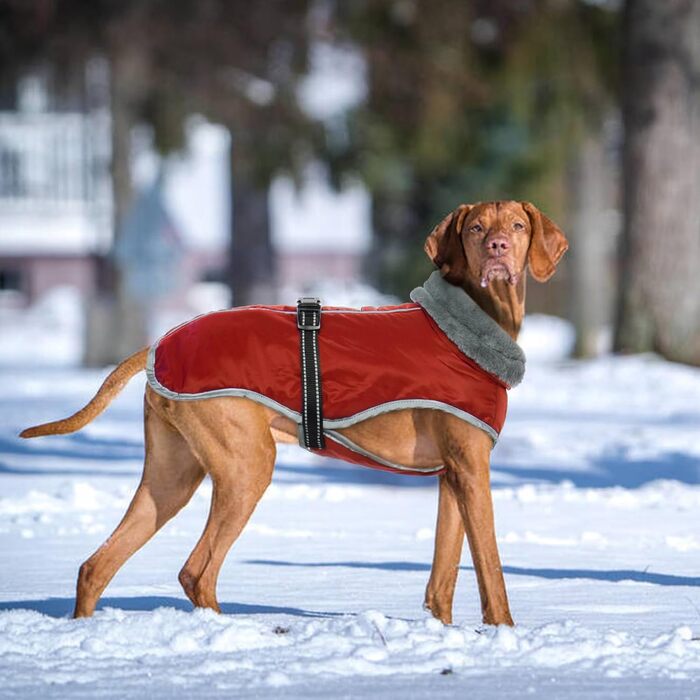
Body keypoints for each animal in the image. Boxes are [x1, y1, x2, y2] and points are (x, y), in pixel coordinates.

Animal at [20, 200, 568, 628]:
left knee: (96, 566)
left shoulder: (453, 474)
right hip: (247, 466)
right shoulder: (473, 472)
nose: (498, 249)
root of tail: (159, 344)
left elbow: (443, 577)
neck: (474, 325)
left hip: (170, 477)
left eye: (516, 226)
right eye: (475, 228)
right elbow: (491, 569)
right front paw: (506, 634)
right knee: (197, 570)